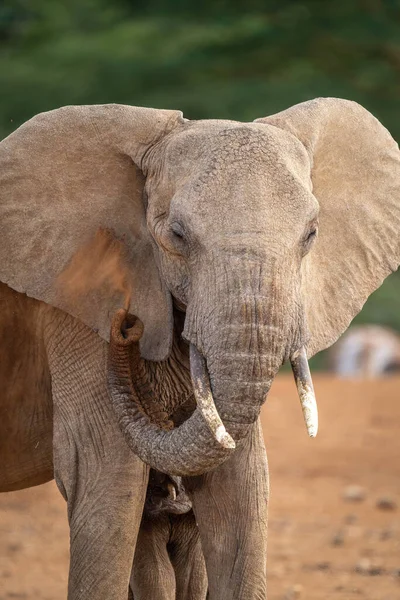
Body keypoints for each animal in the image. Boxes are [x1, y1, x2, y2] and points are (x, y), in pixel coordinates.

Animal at [0, 96, 398, 596]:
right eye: (177, 235)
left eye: (311, 235)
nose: (126, 326)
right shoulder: (77, 302)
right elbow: (106, 479)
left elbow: (241, 484)